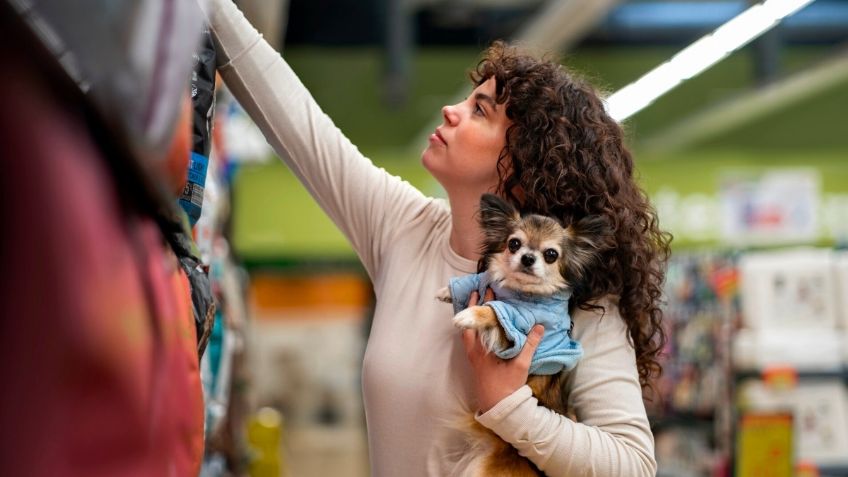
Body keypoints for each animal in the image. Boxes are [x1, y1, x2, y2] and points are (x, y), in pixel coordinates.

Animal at [438, 193, 608, 476]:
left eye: (551, 255)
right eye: (514, 244)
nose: (528, 257)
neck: (517, 290)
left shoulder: (516, 329)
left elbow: (494, 310)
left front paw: (470, 315)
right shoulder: (484, 282)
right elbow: (473, 281)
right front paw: (446, 291)